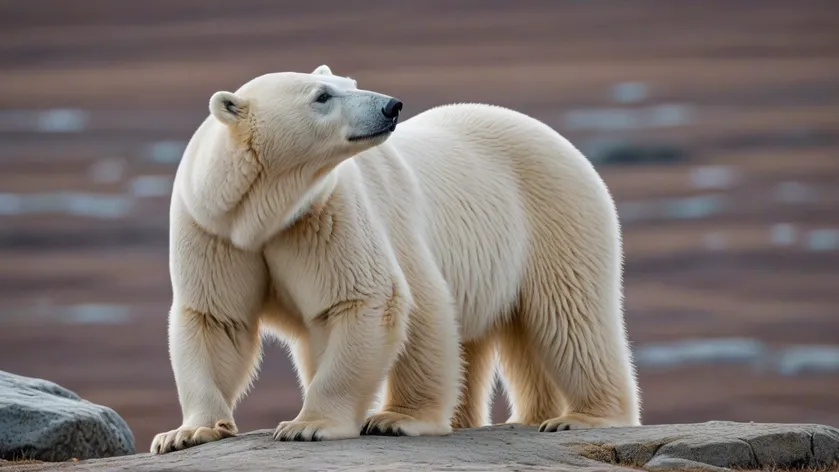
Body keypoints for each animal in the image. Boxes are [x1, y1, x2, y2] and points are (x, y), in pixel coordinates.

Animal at [151, 64, 640, 452]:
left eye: (349, 82)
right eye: (323, 96)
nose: (390, 106)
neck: (267, 213)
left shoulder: (333, 213)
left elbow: (376, 300)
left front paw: (349, 422)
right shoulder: (215, 228)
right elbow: (216, 319)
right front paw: (186, 433)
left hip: (554, 213)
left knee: (570, 315)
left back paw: (582, 416)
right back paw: (520, 415)